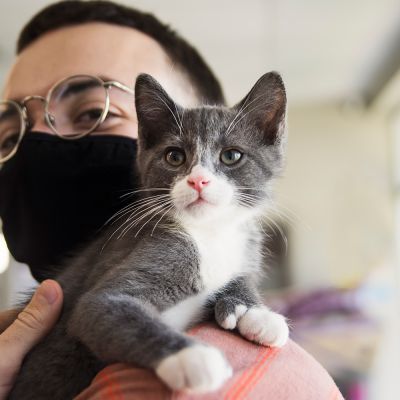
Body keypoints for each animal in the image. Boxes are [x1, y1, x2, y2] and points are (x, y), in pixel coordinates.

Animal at [7, 71, 290, 396]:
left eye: (231, 156)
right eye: (174, 156)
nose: (198, 181)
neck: (208, 233)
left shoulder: (246, 246)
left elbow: (241, 276)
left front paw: (254, 312)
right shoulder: (118, 279)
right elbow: (111, 309)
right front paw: (192, 357)